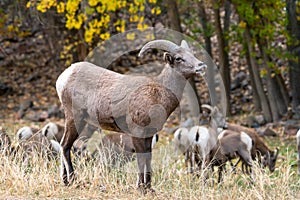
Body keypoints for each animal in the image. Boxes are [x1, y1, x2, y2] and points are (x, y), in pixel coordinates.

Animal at [55, 39, 207, 191]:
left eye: (191, 53)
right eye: (179, 58)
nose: (201, 65)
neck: (157, 93)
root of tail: (64, 78)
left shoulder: (149, 134)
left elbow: (148, 157)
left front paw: (149, 188)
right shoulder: (137, 132)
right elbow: (141, 159)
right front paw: (140, 188)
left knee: (65, 145)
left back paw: (65, 181)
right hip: (75, 118)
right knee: (65, 145)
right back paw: (72, 181)